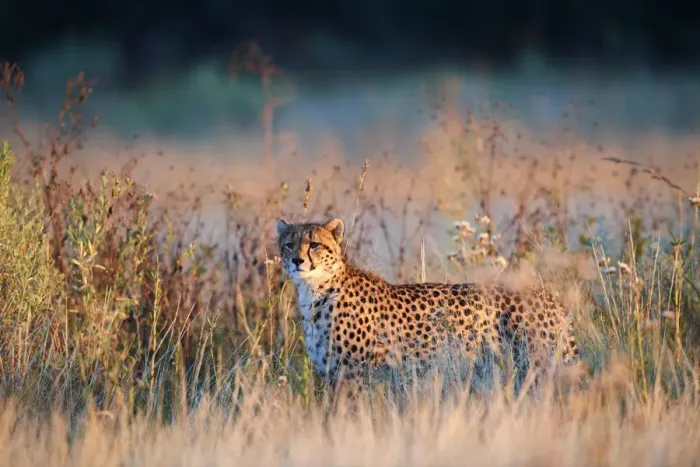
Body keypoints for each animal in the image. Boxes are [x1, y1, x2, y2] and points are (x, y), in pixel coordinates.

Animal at [277, 217, 580, 390]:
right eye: (289, 244)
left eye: (314, 244)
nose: (297, 260)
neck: (315, 290)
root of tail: (548, 296)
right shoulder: (333, 376)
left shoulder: (354, 376)